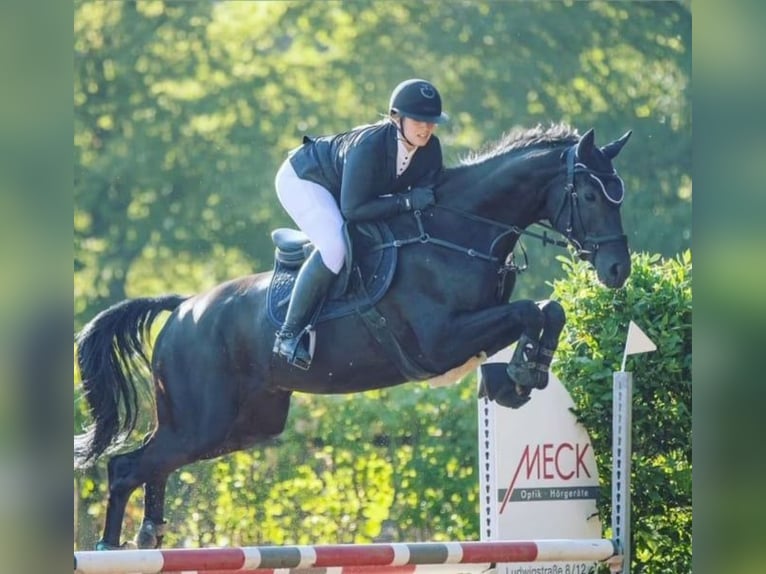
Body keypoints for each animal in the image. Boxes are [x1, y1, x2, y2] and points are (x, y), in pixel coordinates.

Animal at [75, 125, 632, 548]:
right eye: (588, 195)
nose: (618, 269)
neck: (457, 230)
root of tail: (184, 308)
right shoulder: (439, 341)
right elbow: (530, 310)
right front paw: (520, 373)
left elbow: (547, 310)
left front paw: (521, 375)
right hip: (203, 421)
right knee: (125, 468)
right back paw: (110, 546)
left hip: (242, 425)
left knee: (155, 464)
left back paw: (149, 534)